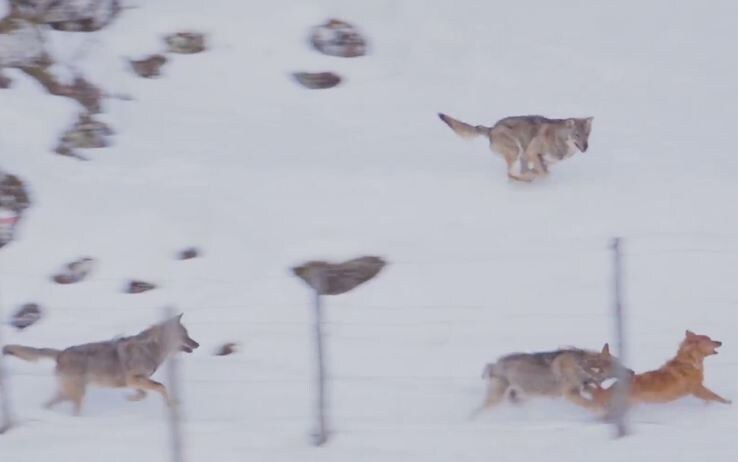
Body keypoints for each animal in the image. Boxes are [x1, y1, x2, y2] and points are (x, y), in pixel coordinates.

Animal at [2, 314, 198, 416]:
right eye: (185, 335)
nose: (198, 344)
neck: (152, 348)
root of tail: (61, 353)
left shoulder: (134, 381)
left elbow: (144, 393)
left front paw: (131, 399)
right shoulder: (134, 379)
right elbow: (162, 387)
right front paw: (171, 405)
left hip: (67, 393)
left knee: (48, 404)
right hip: (77, 394)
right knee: (73, 409)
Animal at [436, 113, 592, 181]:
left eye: (587, 134)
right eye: (577, 135)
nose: (585, 147)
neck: (558, 138)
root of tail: (492, 129)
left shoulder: (542, 160)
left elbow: (544, 172)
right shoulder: (532, 152)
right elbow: (542, 173)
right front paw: (534, 177)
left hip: (521, 155)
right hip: (517, 150)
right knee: (510, 174)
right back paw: (525, 179)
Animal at [472, 342, 628, 416]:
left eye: (620, 362)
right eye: (617, 368)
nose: (631, 371)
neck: (580, 366)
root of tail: (494, 364)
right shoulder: (570, 394)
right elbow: (590, 404)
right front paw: (602, 411)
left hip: (519, 397)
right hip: (497, 398)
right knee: (478, 411)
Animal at [588, 330, 728, 410]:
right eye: (709, 340)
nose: (720, 342)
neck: (688, 362)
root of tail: (607, 391)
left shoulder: (698, 389)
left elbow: (709, 398)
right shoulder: (697, 388)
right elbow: (714, 396)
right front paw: (728, 403)